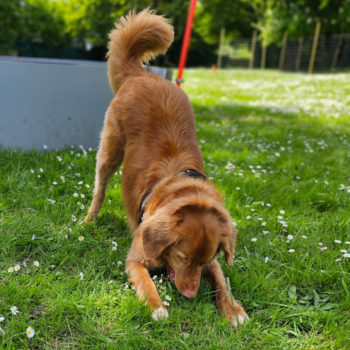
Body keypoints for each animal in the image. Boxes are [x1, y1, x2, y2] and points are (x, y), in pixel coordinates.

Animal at [85, 9, 249, 328]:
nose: (190, 295)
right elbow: (146, 281)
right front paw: (156, 306)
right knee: (99, 189)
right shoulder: (136, 258)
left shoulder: (214, 264)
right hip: (110, 150)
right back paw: (88, 221)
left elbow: (223, 283)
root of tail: (142, 74)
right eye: (183, 258)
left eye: (204, 260)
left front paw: (232, 309)